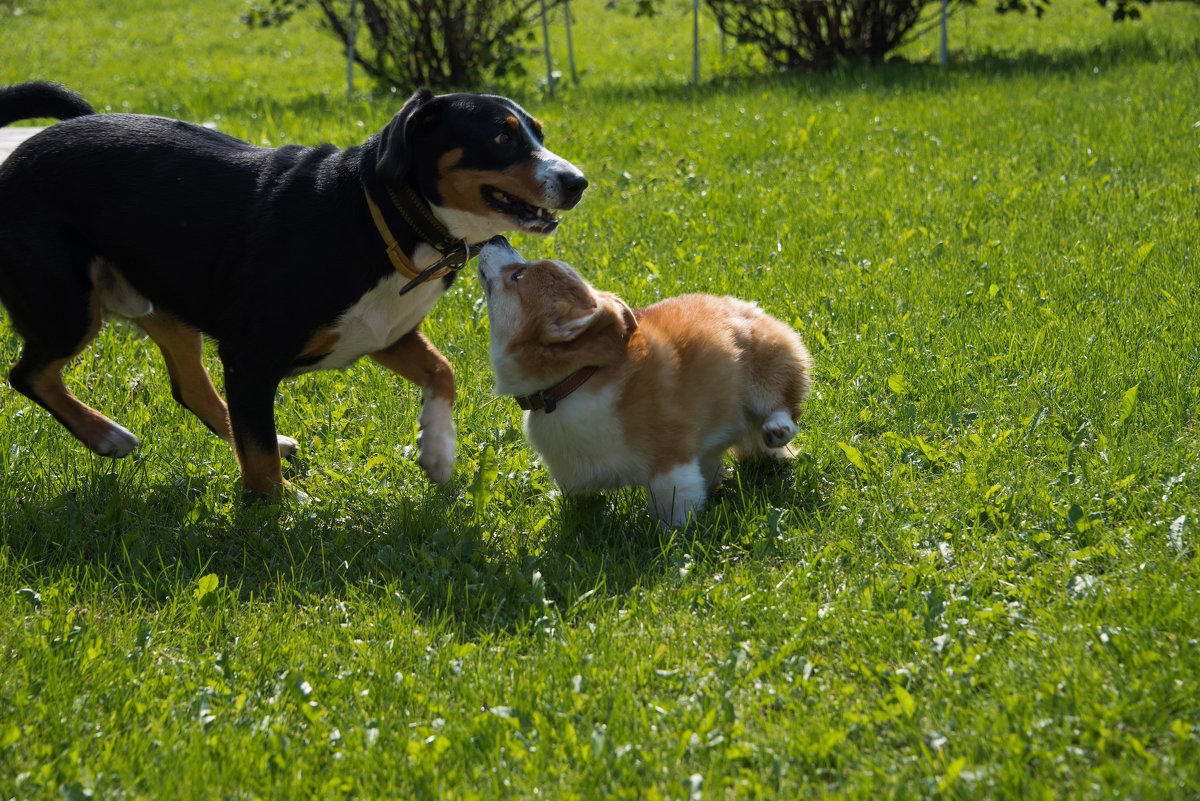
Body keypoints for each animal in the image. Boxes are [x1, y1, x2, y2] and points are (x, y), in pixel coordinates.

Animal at [0, 81, 585, 494]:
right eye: (502, 136)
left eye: (538, 133)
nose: (577, 181)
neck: (381, 217)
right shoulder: (251, 357)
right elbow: (257, 461)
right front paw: (274, 515)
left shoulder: (383, 333)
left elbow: (443, 372)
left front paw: (437, 450)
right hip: (68, 306)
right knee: (28, 374)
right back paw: (106, 435)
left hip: (161, 301)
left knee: (191, 388)